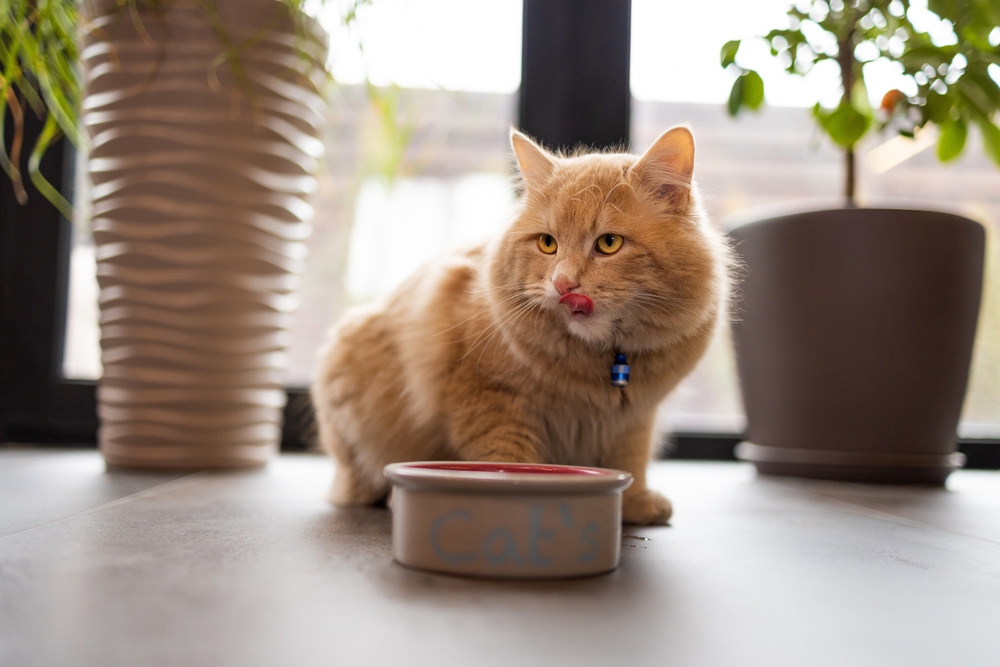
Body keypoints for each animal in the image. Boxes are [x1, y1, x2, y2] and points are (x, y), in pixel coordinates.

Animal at [314, 128, 736, 524]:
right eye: (548, 244)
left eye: (609, 243)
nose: (563, 284)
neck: (600, 364)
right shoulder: (489, 400)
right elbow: (507, 458)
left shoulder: (633, 419)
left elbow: (630, 462)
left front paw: (634, 505)